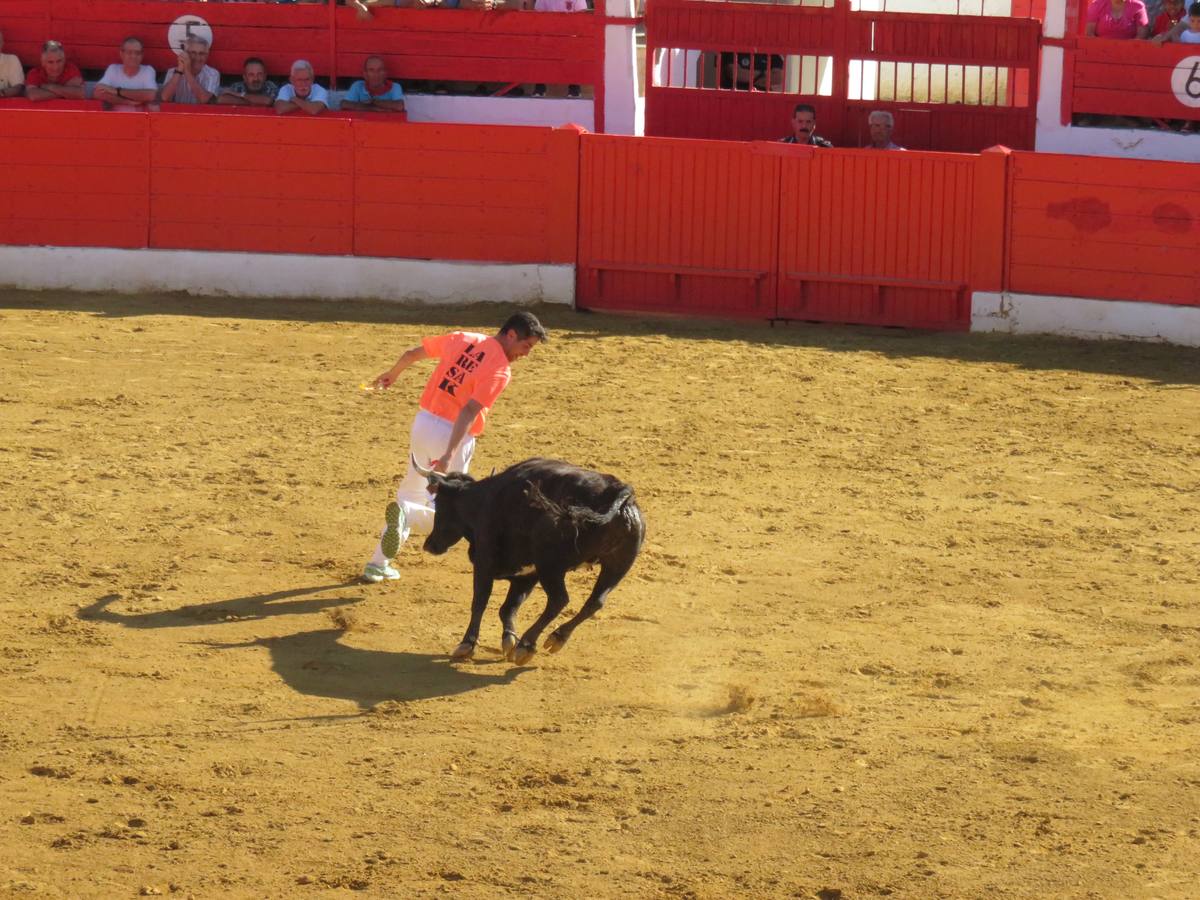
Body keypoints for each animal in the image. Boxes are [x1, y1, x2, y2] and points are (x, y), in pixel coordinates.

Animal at [415, 460, 648, 667]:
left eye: (438, 503)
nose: (429, 544)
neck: (485, 500)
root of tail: (616, 492)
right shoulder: (527, 574)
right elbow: (508, 607)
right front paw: (509, 640)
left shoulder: (484, 561)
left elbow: (480, 601)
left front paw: (467, 644)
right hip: (617, 565)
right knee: (595, 602)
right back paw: (556, 638)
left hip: (551, 566)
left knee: (559, 600)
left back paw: (527, 644)